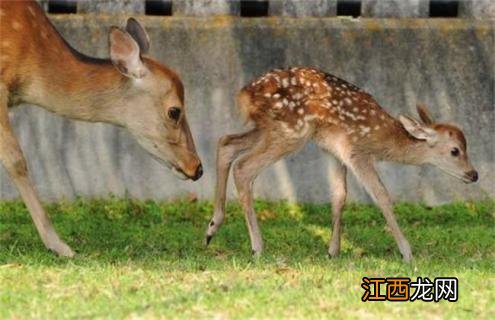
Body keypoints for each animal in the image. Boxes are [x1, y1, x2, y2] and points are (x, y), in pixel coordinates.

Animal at [203, 66, 478, 262]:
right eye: (455, 151)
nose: (473, 174)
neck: (381, 138)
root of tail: (244, 95)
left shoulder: (334, 152)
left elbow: (339, 196)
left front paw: (333, 251)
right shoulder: (355, 151)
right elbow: (381, 195)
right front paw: (407, 252)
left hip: (268, 129)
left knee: (226, 143)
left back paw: (211, 228)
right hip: (290, 131)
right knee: (244, 167)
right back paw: (257, 248)